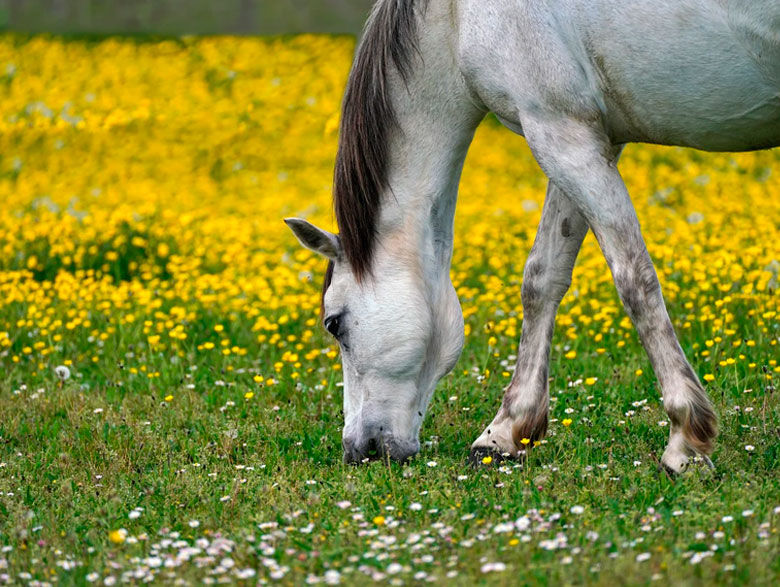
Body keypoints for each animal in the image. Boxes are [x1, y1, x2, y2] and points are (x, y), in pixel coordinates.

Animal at [286, 0, 780, 473]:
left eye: (333, 323)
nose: (359, 450)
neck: (456, 15)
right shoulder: (582, 136)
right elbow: (542, 278)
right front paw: (505, 433)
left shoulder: (558, 130)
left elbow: (634, 280)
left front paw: (684, 443)